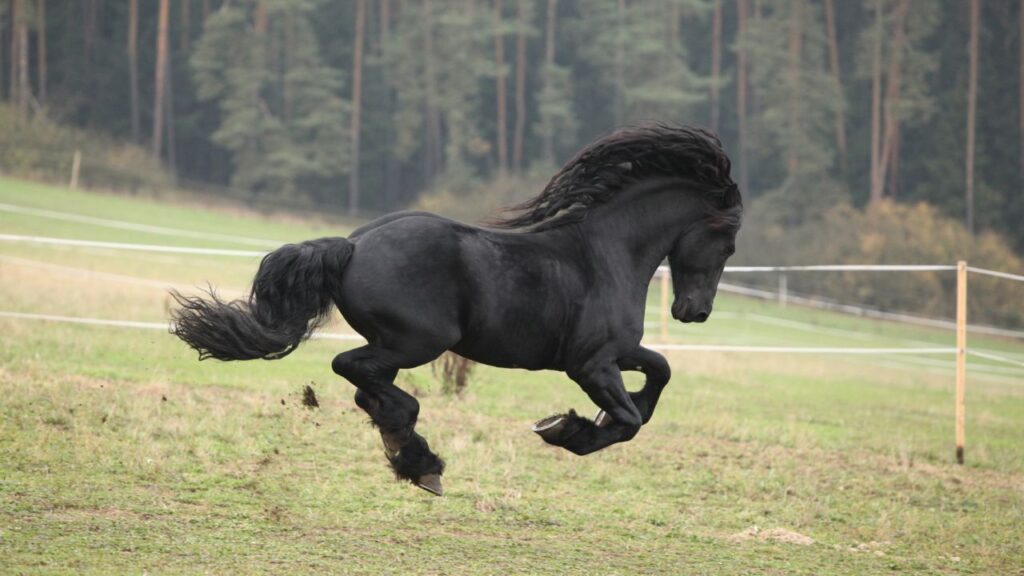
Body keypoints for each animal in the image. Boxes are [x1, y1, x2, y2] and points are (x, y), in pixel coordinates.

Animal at [171, 124, 743, 496]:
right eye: (729, 241)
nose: (695, 312)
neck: (605, 254)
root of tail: (352, 245)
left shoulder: (617, 352)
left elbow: (659, 373)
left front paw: (588, 419)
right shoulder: (591, 364)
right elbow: (627, 420)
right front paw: (565, 429)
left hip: (398, 345)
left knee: (366, 389)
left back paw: (414, 459)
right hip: (416, 341)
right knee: (353, 371)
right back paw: (421, 457)